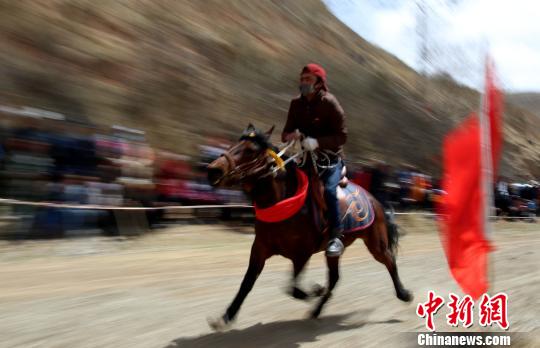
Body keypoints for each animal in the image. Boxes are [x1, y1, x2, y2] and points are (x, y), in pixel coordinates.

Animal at [205, 124, 412, 328]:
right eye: (234, 144)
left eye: (250, 151)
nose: (213, 170)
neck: (284, 201)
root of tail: (374, 199)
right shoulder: (260, 249)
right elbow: (247, 283)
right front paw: (226, 316)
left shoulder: (302, 253)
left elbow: (293, 288)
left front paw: (314, 290)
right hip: (335, 251)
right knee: (335, 278)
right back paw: (316, 311)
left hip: (376, 242)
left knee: (389, 261)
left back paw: (404, 294)